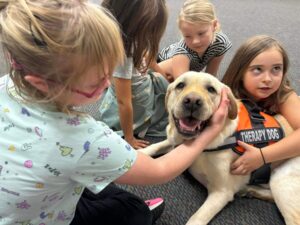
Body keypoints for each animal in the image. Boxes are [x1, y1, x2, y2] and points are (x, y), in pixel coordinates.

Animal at [139, 71, 298, 224]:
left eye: (211, 89)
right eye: (180, 85)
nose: (192, 101)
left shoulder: (221, 192)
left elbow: (196, 218)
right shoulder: (175, 144)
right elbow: (155, 146)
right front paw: (140, 152)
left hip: (280, 179)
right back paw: (249, 190)